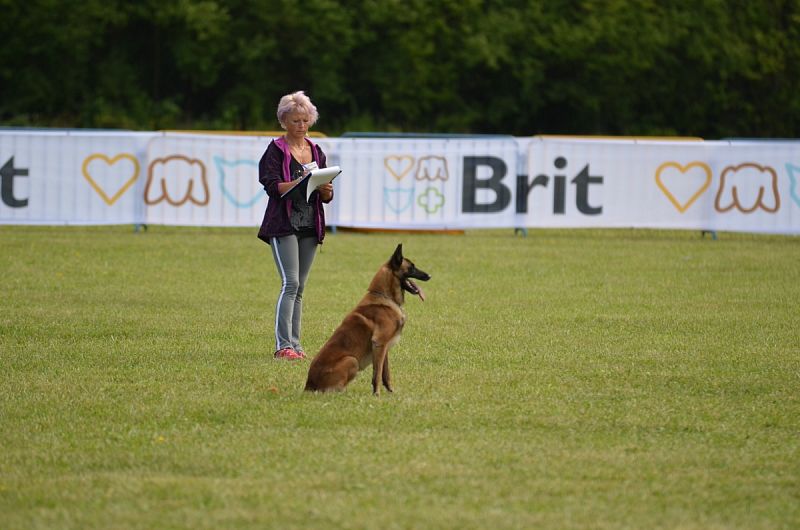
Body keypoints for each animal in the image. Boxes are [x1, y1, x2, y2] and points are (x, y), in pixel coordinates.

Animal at [304, 243, 432, 392]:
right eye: (411, 267)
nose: (429, 275)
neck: (384, 297)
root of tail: (308, 384)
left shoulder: (384, 347)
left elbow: (385, 374)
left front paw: (390, 393)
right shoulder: (379, 343)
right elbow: (377, 375)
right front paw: (377, 395)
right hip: (352, 360)